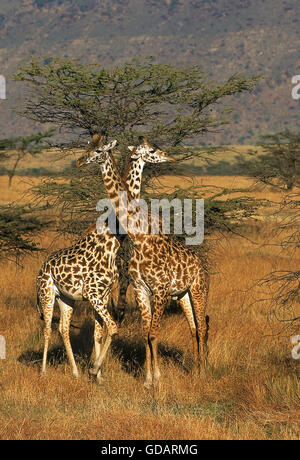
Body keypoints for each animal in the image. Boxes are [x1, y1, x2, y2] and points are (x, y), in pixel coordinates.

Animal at [76, 137, 210, 388]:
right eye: (87, 147)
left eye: (97, 150)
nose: (171, 156)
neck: (139, 238)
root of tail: (201, 264)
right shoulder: (141, 289)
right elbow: (146, 333)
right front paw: (149, 380)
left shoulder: (160, 290)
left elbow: (152, 334)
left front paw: (154, 379)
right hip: (183, 294)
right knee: (195, 327)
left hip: (197, 290)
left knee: (201, 326)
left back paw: (203, 370)